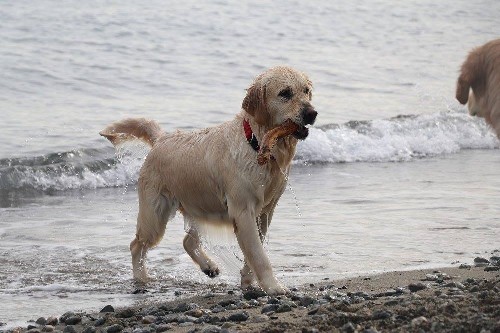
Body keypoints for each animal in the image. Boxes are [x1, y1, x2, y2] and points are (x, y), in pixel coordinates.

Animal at [100, 65, 316, 294]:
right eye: (285, 93)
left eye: (306, 91)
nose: (312, 113)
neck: (256, 145)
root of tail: (161, 139)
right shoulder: (243, 211)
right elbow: (259, 255)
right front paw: (273, 286)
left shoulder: (265, 212)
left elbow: (253, 255)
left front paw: (248, 282)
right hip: (155, 213)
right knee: (137, 245)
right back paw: (141, 278)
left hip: (201, 205)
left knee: (187, 241)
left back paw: (209, 266)